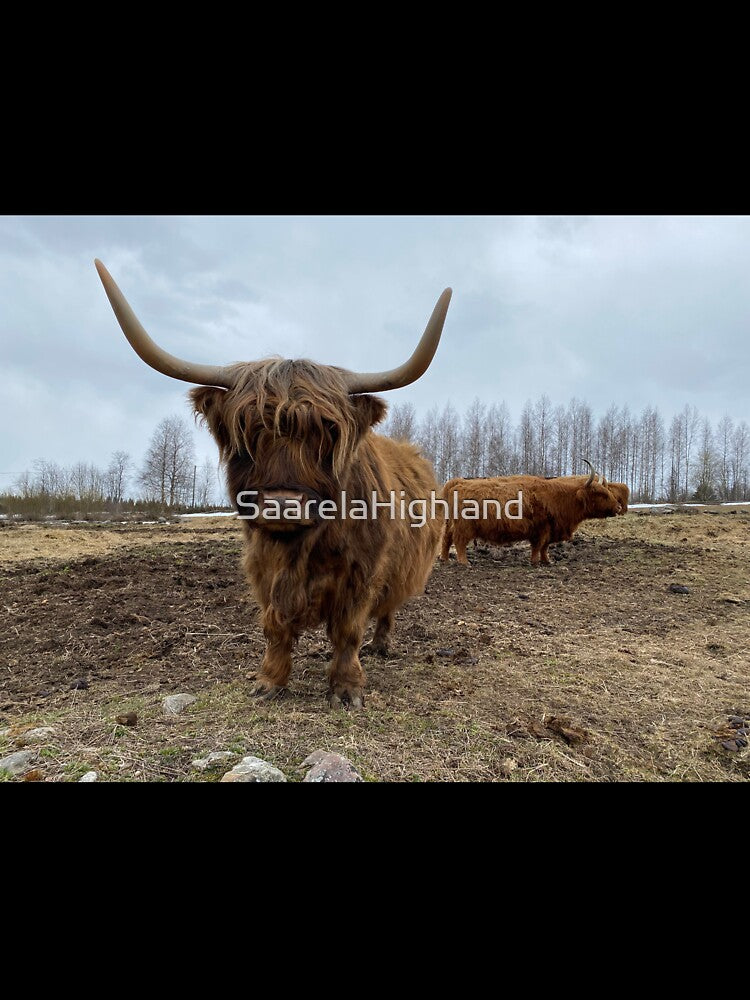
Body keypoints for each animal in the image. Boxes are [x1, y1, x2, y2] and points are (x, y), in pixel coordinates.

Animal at [95, 260, 451, 709]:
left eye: (327, 431)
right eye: (248, 427)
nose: (282, 505)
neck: (301, 549)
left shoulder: (361, 573)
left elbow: (349, 631)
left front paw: (346, 688)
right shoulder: (264, 569)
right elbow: (275, 628)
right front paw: (269, 681)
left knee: (387, 610)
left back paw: (381, 645)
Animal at [440, 464, 622, 567]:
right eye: (601, 494)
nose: (619, 507)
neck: (559, 497)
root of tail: (458, 482)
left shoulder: (550, 529)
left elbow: (545, 547)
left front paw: (547, 561)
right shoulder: (540, 529)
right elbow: (537, 546)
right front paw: (535, 562)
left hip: (450, 524)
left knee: (446, 540)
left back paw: (445, 560)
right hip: (464, 527)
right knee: (459, 542)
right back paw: (464, 563)